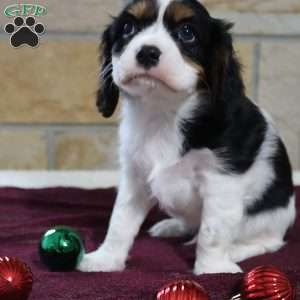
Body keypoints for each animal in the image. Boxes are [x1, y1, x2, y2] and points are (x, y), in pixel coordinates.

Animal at [77, 0, 296, 274]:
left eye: (187, 33)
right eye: (128, 28)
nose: (147, 52)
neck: (164, 114)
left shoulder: (221, 182)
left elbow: (212, 233)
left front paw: (212, 270)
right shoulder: (135, 178)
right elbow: (120, 221)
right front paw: (106, 259)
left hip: (269, 219)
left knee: (269, 242)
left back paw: (236, 251)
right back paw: (173, 226)